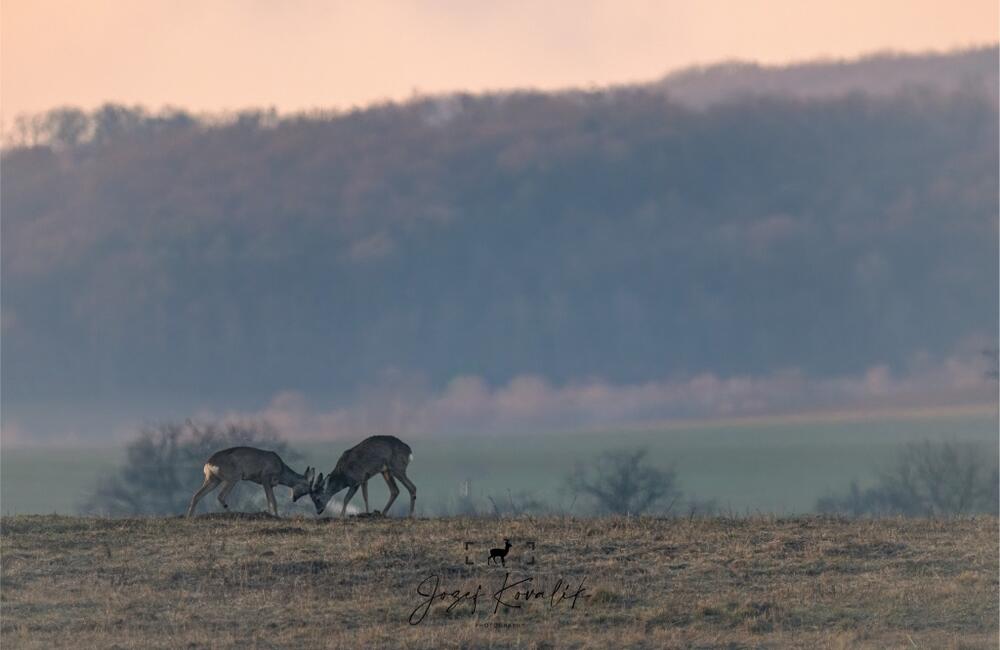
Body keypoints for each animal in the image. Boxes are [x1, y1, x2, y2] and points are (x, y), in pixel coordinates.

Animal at [186, 446, 314, 516]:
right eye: (306, 488)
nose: (294, 499)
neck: (281, 469)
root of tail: (208, 463)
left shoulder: (269, 484)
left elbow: (270, 500)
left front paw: (272, 514)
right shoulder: (265, 477)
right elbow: (272, 500)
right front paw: (275, 516)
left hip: (213, 479)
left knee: (197, 495)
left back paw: (190, 517)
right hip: (233, 477)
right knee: (220, 496)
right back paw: (233, 512)